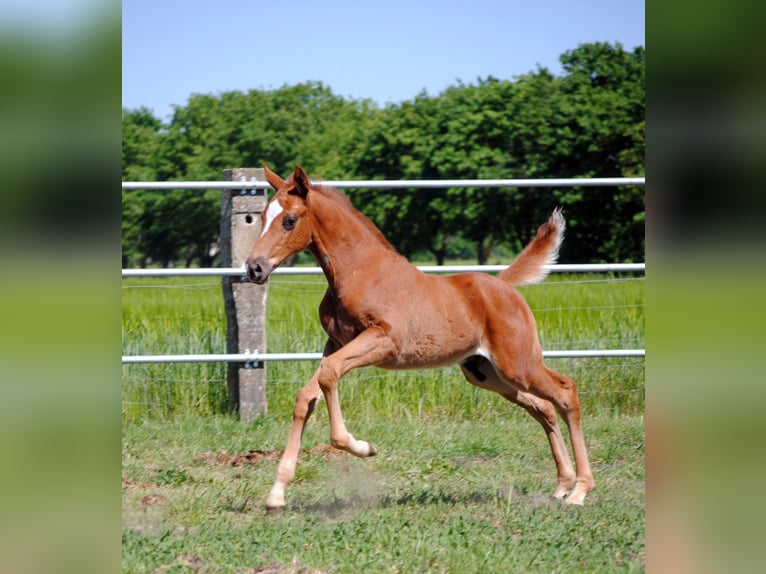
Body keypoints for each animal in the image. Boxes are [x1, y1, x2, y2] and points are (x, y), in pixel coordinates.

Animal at [249, 164, 596, 510]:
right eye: (262, 216)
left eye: (289, 220)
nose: (254, 267)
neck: (359, 271)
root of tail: (504, 284)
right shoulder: (336, 343)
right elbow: (307, 396)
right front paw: (276, 493)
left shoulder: (384, 342)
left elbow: (329, 374)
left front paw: (363, 447)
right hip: (488, 374)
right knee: (544, 407)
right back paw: (562, 485)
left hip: (518, 365)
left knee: (565, 392)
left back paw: (579, 491)